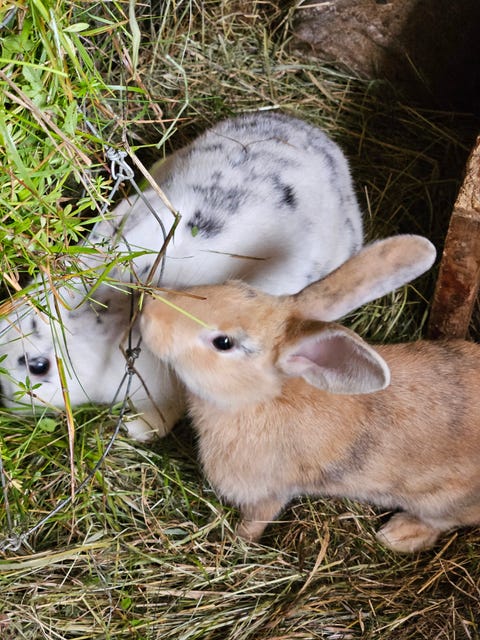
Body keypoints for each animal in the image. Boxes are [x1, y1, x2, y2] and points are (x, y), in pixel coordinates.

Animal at [141, 234, 480, 553]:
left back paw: (397, 534)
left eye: (223, 343)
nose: (150, 312)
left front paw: (238, 541)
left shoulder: (269, 492)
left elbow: (256, 521)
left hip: (440, 502)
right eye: (232, 285)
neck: (260, 399)